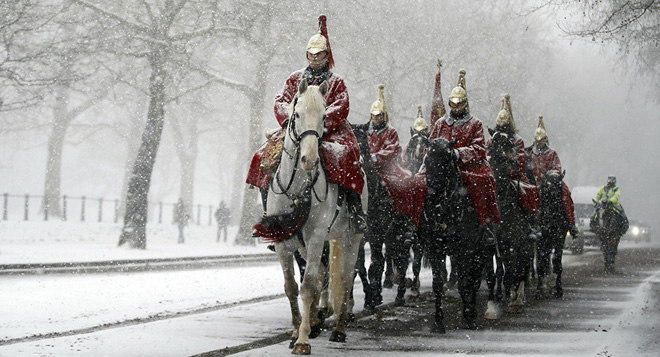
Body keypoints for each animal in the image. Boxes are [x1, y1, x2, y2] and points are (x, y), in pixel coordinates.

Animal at [264, 79, 364, 354]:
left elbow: (308, 287)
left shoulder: (316, 237)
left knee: (346, 278)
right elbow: (291, 287)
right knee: (323, 276)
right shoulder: (284, 243)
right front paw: (295, 330)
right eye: (296, 115)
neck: (297, 188)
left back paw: (339, 329)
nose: (309, 160)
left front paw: (303, 340)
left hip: (350, 239)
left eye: (323, 117)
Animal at [420, 137, 492, 330]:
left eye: (446, 161)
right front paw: (438, 322)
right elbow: (438, 284)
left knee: (474, 279)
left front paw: (468, 317)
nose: (432, 192)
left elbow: (465, 282)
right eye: (427, 160)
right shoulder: (435, 248)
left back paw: (472, 312)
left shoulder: (465, 249)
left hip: (481, 250)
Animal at [536, 170, 568, 298]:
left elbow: (557, 259)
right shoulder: (540, 238)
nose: (552, 214)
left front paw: (559, 288)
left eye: (560, 188)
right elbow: (540, 262)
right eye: (546, 188)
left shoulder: (561, 235)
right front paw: (539, 290)